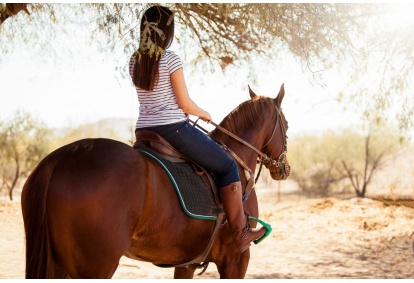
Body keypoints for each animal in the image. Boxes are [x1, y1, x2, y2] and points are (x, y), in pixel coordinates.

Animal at [20, 84, 292, 280]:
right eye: (287, 126)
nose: (284, 168)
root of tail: (58, 160)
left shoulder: (187, 263)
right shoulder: (236, 258)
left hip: (57, 264)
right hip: (94, 266)